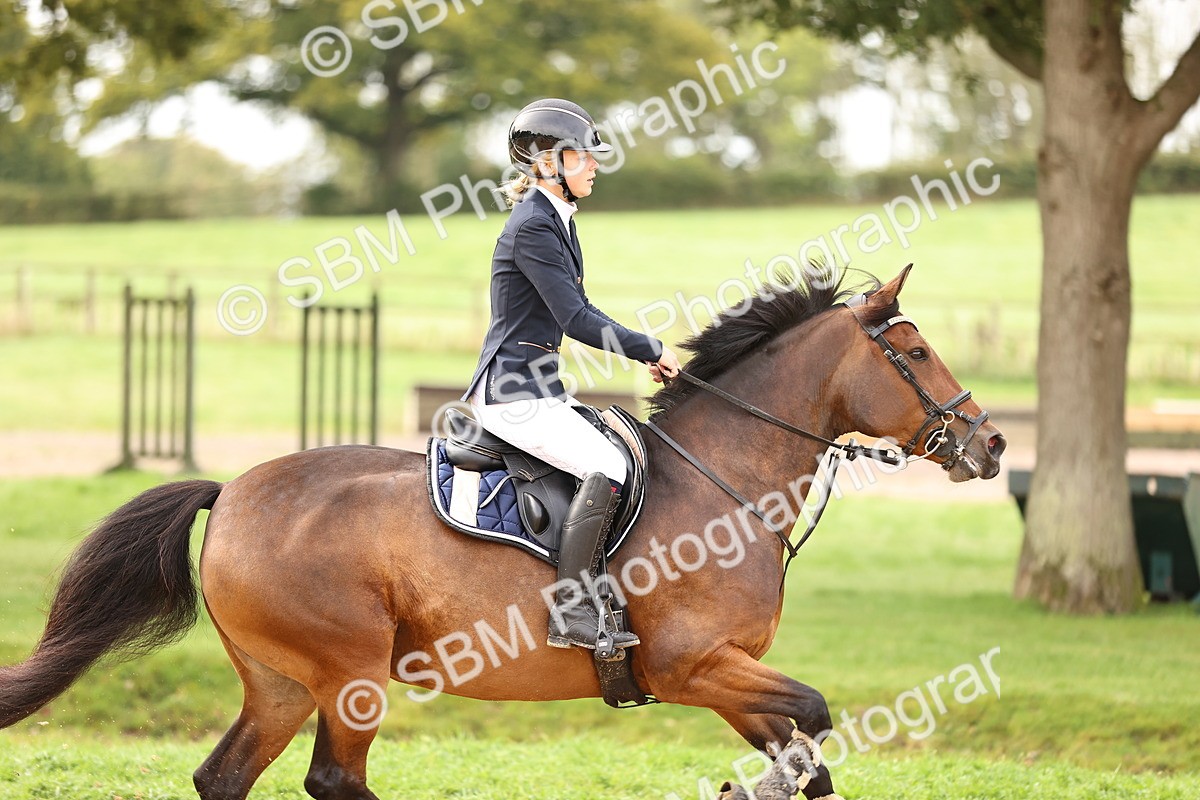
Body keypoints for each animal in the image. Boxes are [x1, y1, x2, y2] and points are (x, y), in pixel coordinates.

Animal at [0, 265, 1005, 800]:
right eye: (915, 353)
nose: (990, 443)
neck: (728, 479)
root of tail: (235, 490)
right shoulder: (693, 665)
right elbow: (815, 716)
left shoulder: (723, 678)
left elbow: (800, 747)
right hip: (349, 674)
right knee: (334, 780)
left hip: (282, 682)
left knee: (226, 777)